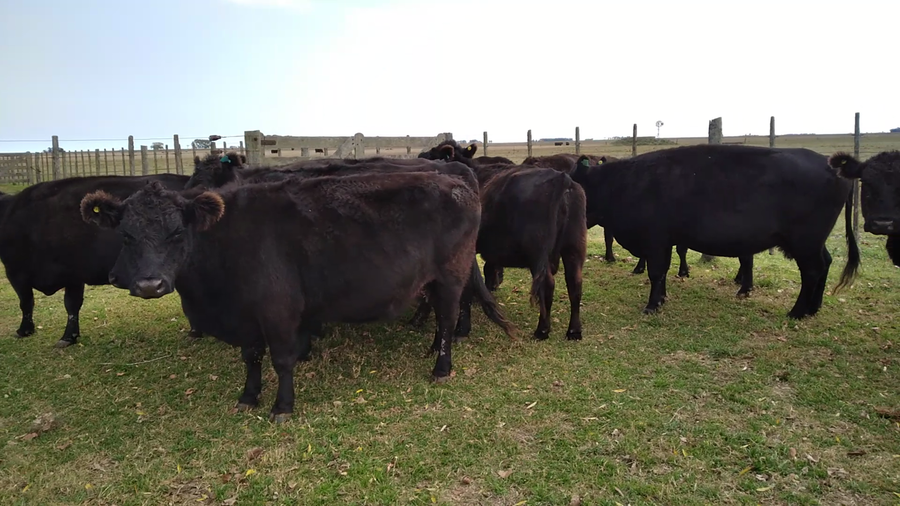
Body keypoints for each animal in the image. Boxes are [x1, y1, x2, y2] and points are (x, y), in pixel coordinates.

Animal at [0, 174, 201, 347]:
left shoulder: (20, 272)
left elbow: (36, 303)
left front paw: (29, 331)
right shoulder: (65, 274)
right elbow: (56, 304)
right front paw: (67, 336)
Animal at [80, 173, 517, 422]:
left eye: (176, 233)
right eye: (126, 236)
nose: (149, 285)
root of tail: (459, 184)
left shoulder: (278, 311)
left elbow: (282, 360)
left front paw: (282, 407)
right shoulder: (247, 316)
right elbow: (251, 357)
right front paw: (248, 396)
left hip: (451, 276)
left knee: (448, 317)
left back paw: (441, 367)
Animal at [416, 140, 587, 341]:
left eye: (434, 155)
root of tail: (561, 178)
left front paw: (461, 328)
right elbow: (489, 271)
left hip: (538, 254)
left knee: (548, 285)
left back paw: (542, 330)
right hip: (574, 247)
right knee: (575, 283)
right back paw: (574, 331)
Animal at [570, 144, 860, 318]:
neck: (623, 183)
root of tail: (830, 164)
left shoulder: (656, 239)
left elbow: (656, 272)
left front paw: (652, 305)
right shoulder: (665, 241)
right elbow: (662, 272)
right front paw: (661, 298)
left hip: (804, 242)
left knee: (812, 271)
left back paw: (797, 312)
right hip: (814, 242)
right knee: (825, 263)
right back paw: (813, 308)